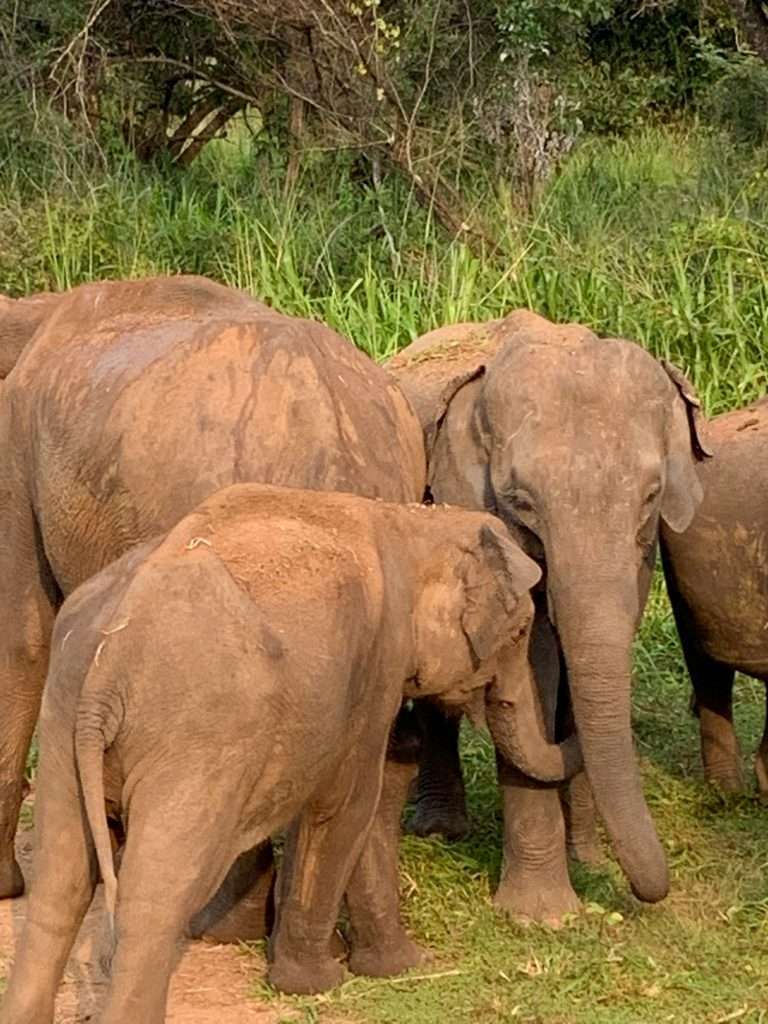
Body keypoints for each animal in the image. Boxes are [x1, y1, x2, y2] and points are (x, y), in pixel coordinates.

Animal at [0, 482, 542, 1021]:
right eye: (519, 633)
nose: (413, 730)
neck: (410, 522)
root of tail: (107, 663)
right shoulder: (376, 667)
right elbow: (347, 806)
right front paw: (327, 981)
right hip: (197, 741)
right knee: (154, 896)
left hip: (65, 712)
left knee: (60, 885)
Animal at [387, 308, 711, 922]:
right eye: (521, 502)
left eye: (651, 495)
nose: (651, 895)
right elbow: (537, 666)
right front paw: (543, 919)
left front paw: (589, 863)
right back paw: (441, 830)